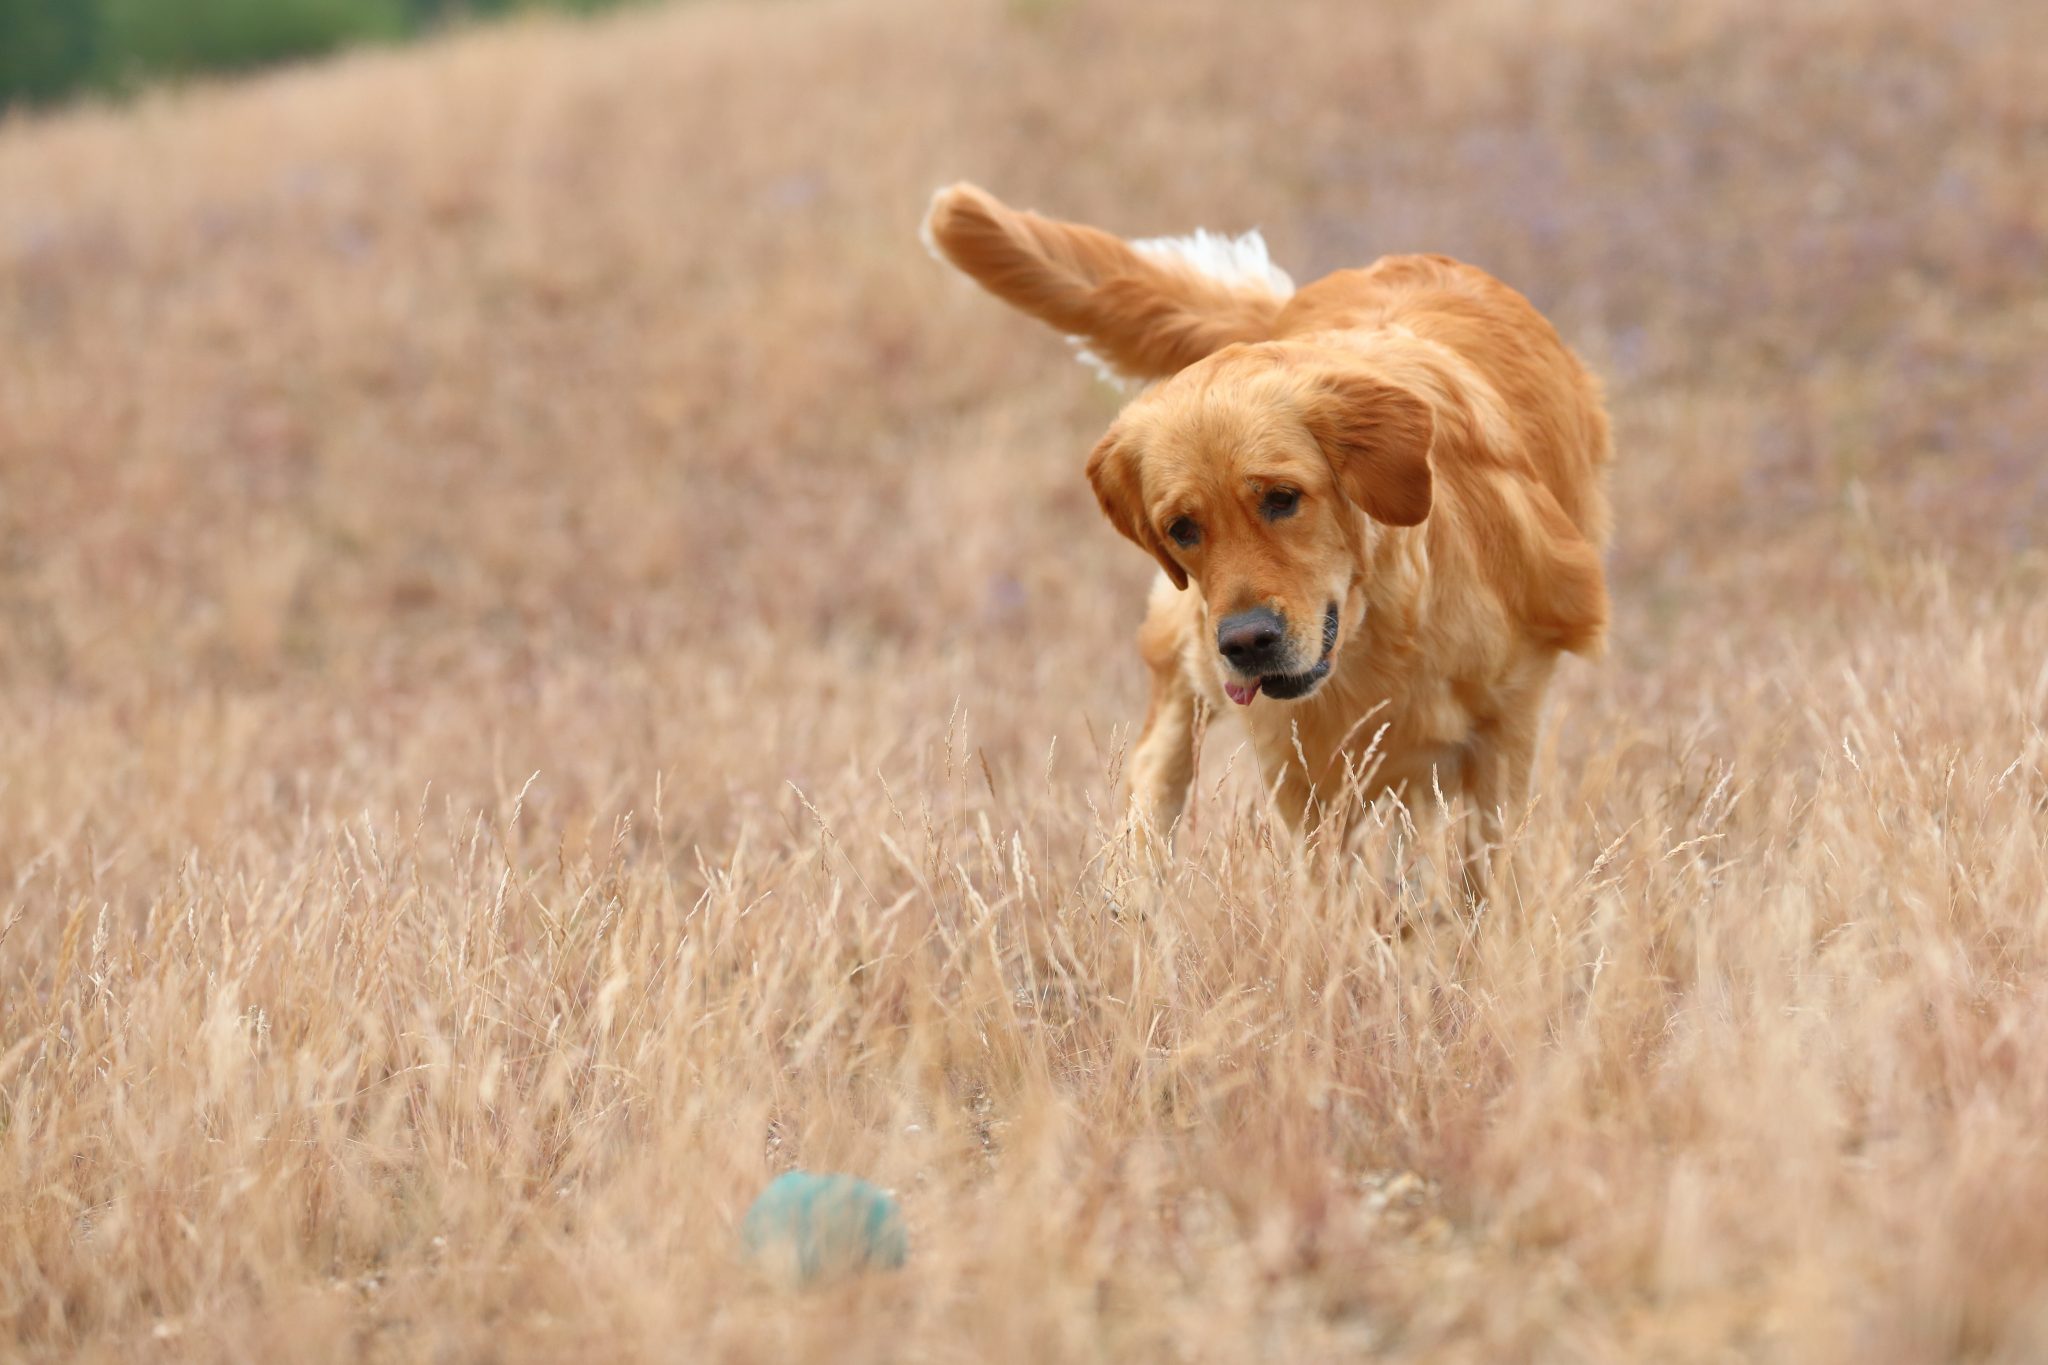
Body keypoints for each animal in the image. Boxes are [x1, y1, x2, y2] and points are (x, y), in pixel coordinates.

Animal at [922, 183, 1612, 892]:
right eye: (1181, 529)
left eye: (1282, 498)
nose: (1248, 642)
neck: (1384, 626)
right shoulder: (1298, 755)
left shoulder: (1509, 715)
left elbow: (1489, 868)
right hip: (1191, 641)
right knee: (1162, 752)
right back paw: (1135, 883)